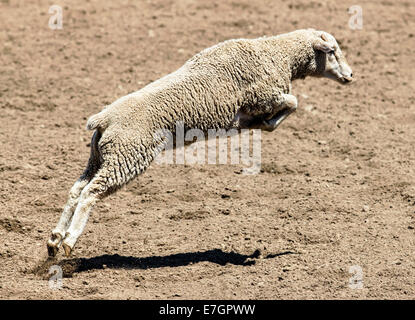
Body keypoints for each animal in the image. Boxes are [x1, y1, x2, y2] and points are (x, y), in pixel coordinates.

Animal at [48, 28, 354, 256]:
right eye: (333, 52)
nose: (351, 76)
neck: (277, 54)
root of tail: (103, 119)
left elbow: (290, 104)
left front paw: (259, 124)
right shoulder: (264, 96)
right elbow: (294, 102)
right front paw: (264, 124)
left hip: (100, 156)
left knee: (77, 190)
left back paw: (54, 238)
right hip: (127, 156)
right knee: (90, 193)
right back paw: (69, 240)